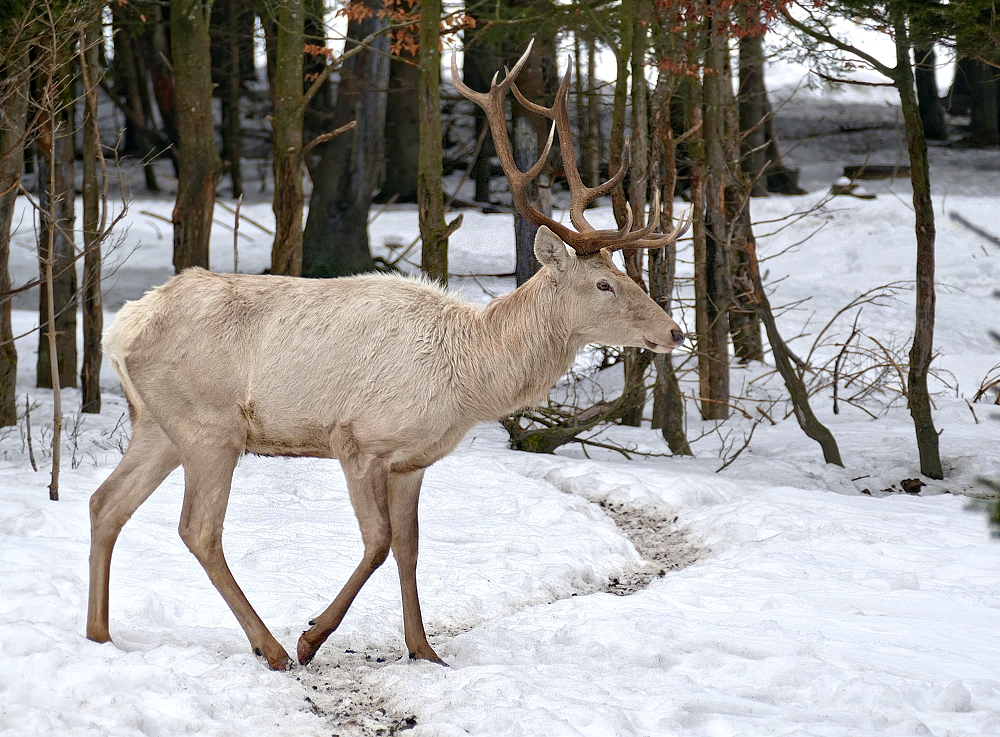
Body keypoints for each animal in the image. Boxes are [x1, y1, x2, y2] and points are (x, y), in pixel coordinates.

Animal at [88, 41, 688, 672]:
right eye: (604, 284)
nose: (674, 331)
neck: (469, 377)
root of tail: (122, 329)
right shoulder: (356, 438)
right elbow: (377, 544)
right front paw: (313, 636)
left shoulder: (413, 462)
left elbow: (409, 549)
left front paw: (425, 650)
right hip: (210, 425)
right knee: (198, 529)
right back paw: (271, 647)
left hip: (157, 423)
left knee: (106, 504)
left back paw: (100, 635)